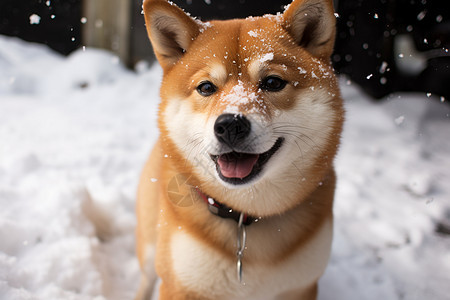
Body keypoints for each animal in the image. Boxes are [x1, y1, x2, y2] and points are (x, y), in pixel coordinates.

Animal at [135, 0, 342, 298]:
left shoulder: (302, 287)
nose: (230, 125)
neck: (246, 216)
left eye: (273, 83)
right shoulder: (181, 285)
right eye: (206, 87)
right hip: (151, 246)